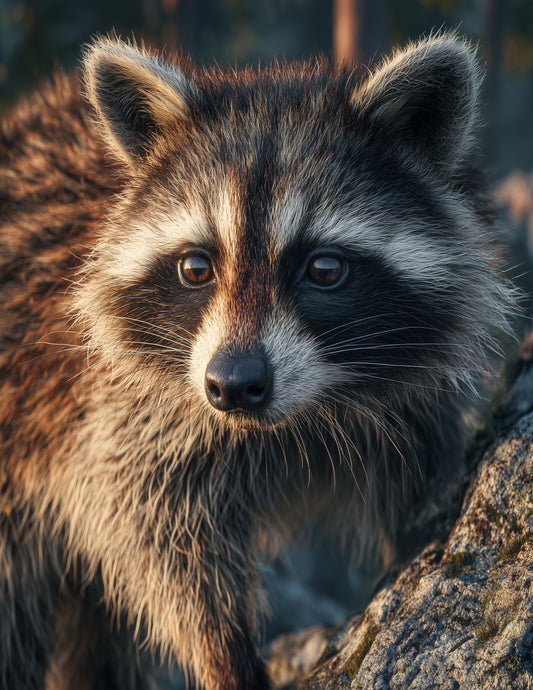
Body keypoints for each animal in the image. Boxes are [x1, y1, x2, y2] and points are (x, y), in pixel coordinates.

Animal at [0, 33, 515, 690]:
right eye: (196, 267)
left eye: (325, 269)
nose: (233, 384)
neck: (302, 416)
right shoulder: (118, 408)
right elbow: (147, 527)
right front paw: (223, 649)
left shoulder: (416, 404)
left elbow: (416, 483)